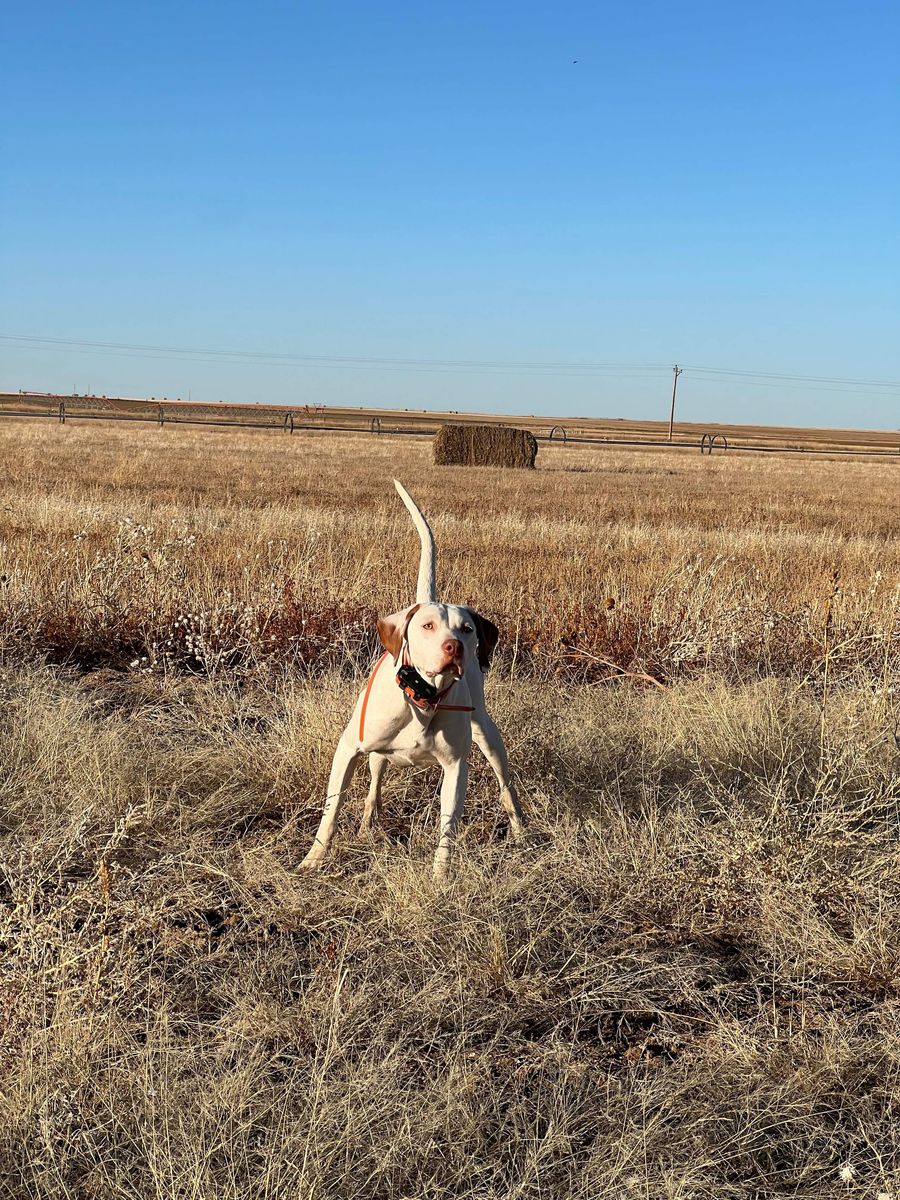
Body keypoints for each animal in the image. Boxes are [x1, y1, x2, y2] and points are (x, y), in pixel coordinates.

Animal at [300, 479, 524, 876]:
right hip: (377, 754)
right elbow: (331, 810)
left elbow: (448, 827)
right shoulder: (348, 749)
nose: (453, 648)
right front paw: (313, 859)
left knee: (506, 787)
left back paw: (521, 832)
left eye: (467, 629)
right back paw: (366, 828)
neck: (423, 700)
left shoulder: (456, 769)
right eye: (427, 626)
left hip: (488, 737)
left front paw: (441, 876)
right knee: (374, 787)